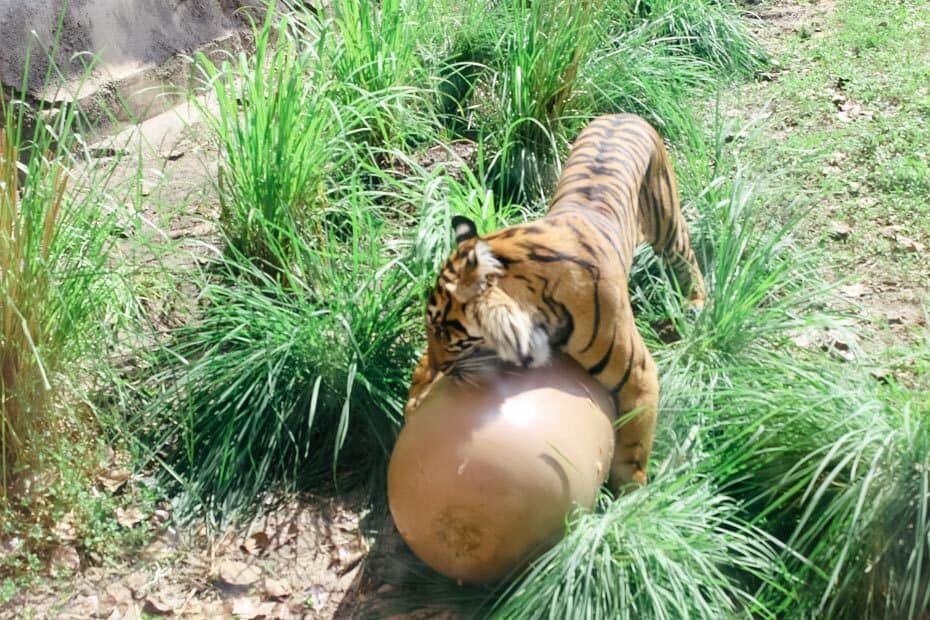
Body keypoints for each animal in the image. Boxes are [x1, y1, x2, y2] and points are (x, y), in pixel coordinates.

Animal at [404, 114, 704, 492]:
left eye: (444, 331)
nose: (441, 366)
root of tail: (623, 115)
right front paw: (417, 395)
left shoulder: (639, 375)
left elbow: (634, 448)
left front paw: (631, 499)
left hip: (667, 223)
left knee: (687, 260)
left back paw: (696, 304)